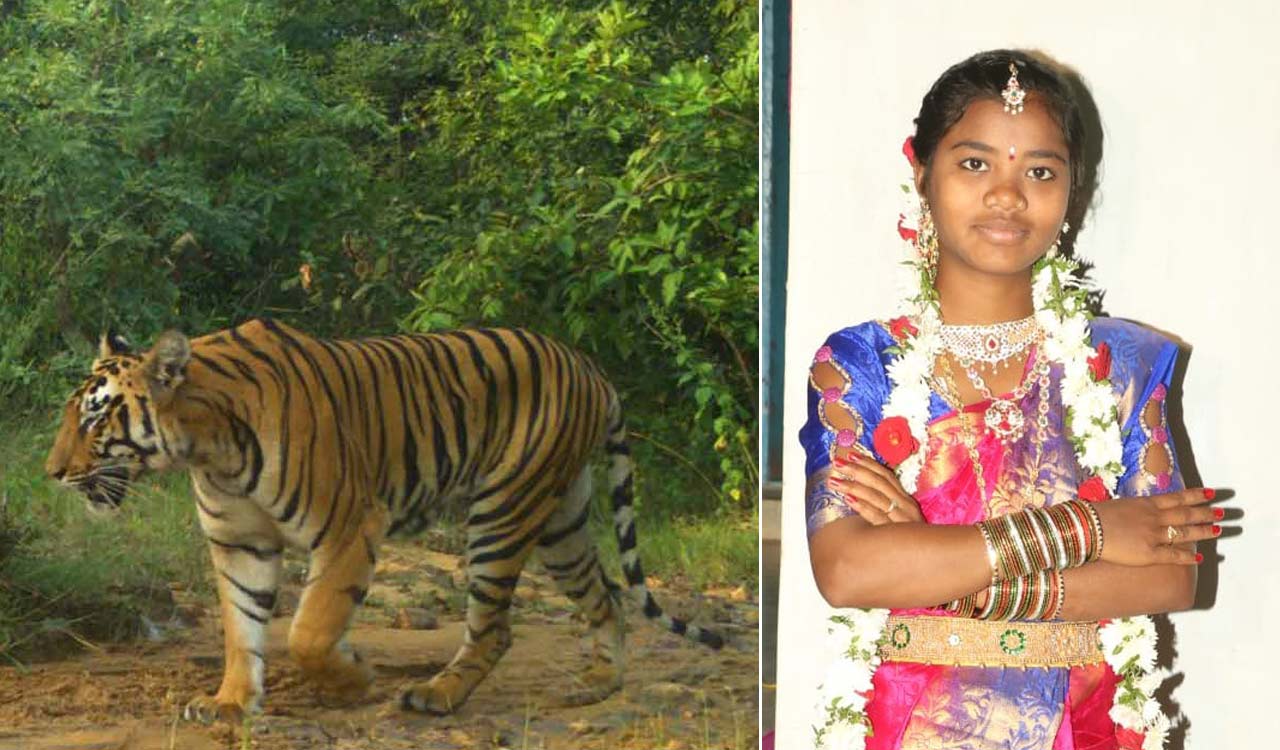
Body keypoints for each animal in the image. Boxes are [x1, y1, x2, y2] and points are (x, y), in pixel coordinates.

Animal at [44, 318, 722, 722]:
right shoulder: (239, 542)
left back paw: (436, 694)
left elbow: (310, 631)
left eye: (94, 417)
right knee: (605, 597)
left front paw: (354, 681)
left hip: (503, 511)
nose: (50, 473)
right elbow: (241, 629)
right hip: (560, 519)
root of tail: (588, 365)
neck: (209, 450)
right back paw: (599, 683)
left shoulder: (351, 524)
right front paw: (230, 702)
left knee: (496, 628)